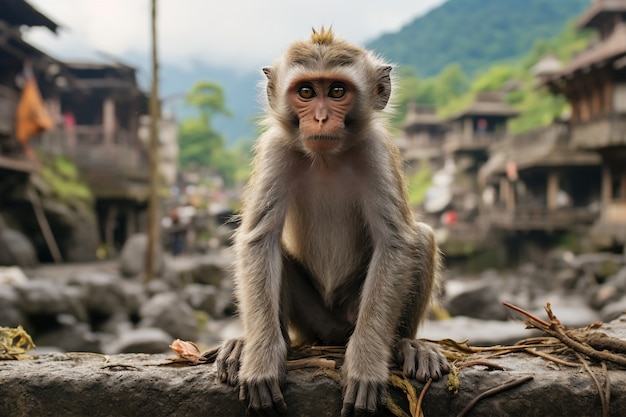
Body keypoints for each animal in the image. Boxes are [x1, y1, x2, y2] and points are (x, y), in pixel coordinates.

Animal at [216, 27, 448, 414]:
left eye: (337, 91)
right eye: (306, 92)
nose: (322, 118)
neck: (327, 158)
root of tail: (334, 332)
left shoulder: (375, 149)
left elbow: (395, 242)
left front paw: (366, 363)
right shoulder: (275, 149)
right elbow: (260, 240)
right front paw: (261, 360)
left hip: (350, 310)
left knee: (422, 237)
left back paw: (407, 346)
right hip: (314, 321)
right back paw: (246, 346)